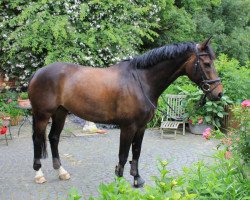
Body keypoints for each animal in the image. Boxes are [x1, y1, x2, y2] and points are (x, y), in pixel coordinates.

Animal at [28, 38, 223, 187]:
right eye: (207, 64)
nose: (219, 93)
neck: (141, 81)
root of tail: (37, 73)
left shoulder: (141, 127)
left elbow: (136, 152)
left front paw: (137, 179)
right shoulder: (128, 127)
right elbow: (123, 155)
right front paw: (119, 181)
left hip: (60, 113)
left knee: (53, 138)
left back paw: (61, 172)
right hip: (42, 115)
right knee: (38, 139)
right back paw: (39, 174)